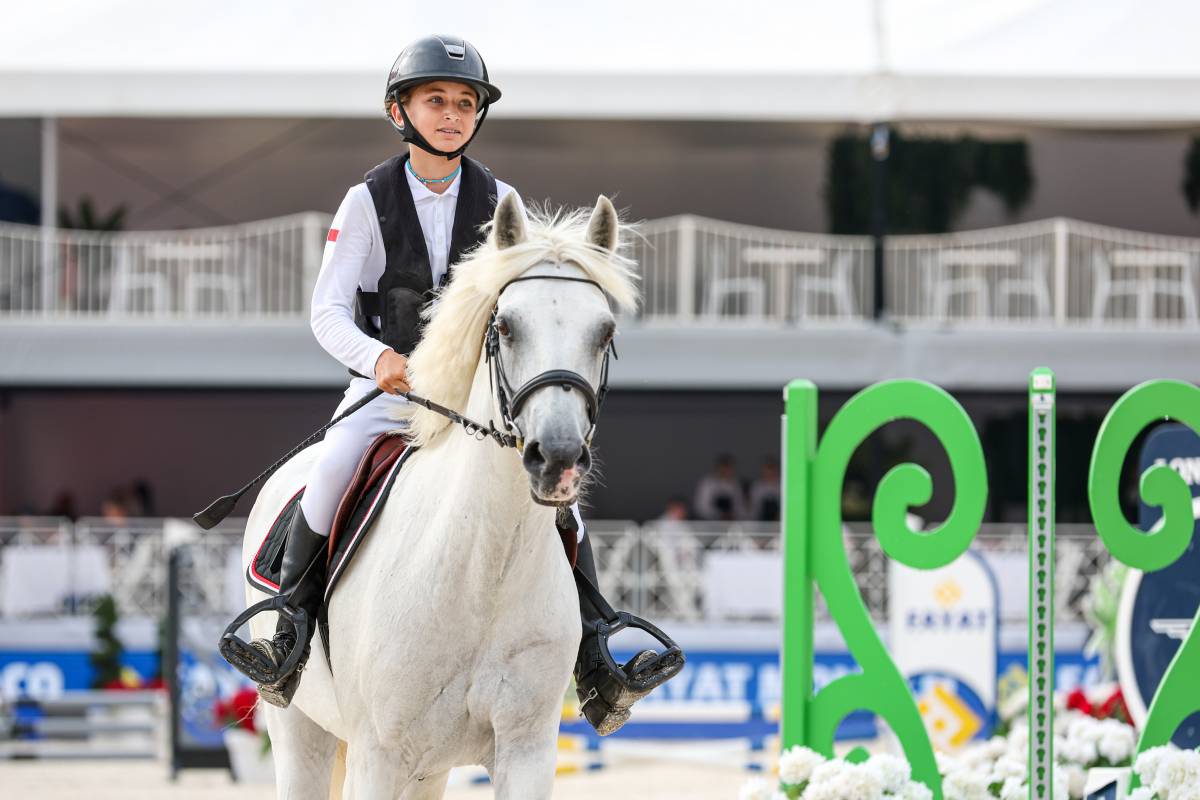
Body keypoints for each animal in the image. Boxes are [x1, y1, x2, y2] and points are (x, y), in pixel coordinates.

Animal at [238, 195, 643, 800]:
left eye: (604, 331)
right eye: (506, 326)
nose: (558, 460)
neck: (482, 569)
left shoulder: (525, 751)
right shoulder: (378, 757)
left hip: (429, 769)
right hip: (300, 730)